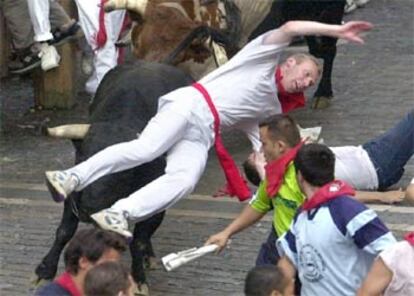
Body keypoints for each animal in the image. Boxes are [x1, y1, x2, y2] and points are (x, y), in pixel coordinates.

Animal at [34, 60, 194, 296]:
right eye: (82, 157)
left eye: (123, 171)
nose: (86, 210)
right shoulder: (72, 195)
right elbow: (64, 231)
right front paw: (45, 271)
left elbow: (139, 240)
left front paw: (138, 279)